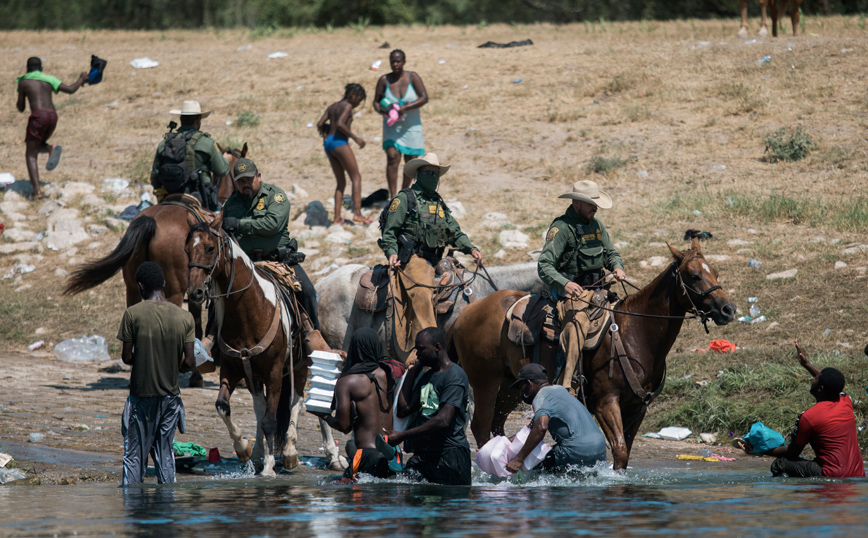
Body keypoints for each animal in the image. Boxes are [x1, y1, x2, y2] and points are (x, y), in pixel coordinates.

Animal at [185, 214, 344, 474]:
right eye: (187, 249)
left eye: (210, 248)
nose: (195, 292)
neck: (250, 308)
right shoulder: (234, 368)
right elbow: (224, 406)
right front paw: (244, 449)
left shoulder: (275, 370)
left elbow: (272, 419)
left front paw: (269, 466)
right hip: (256, 376)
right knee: (262, 407)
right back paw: (261, 451)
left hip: (301, 365)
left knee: (298, 402)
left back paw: (301, 453)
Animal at [450, 239, 736, 468]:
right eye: (693, 275)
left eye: (715, 272)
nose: (728, 309)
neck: (636, 333)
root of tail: (465, 313)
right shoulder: (605, 403)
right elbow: (619, 451)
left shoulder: (637, 408)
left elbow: (624, 454)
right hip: (485, 381)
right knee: (480, 426)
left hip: (511, 386)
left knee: (496, 424)